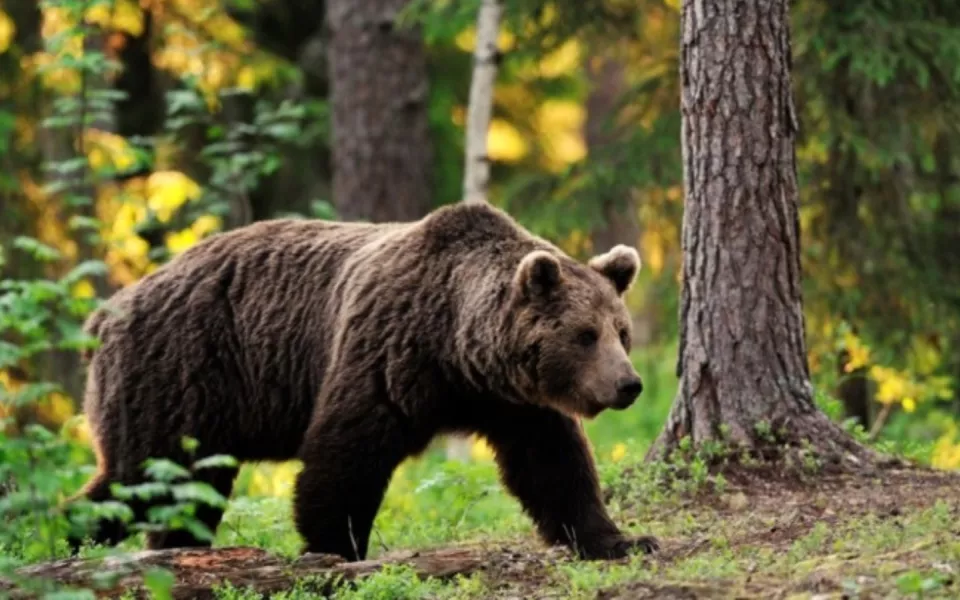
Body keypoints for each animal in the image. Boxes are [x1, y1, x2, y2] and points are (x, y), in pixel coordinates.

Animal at [69, 203, 660, 564]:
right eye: (585, 335)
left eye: (621, 332)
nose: (628, 384)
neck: (457, 348)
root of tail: (105, 312)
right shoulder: (388, 354)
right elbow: (345, 456)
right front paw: (337, 548)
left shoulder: (513, 402)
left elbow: (554, 467)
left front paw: (622, 539)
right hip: (179, 374)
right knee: (141, 477)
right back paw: (71, 536)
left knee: (183, 491)